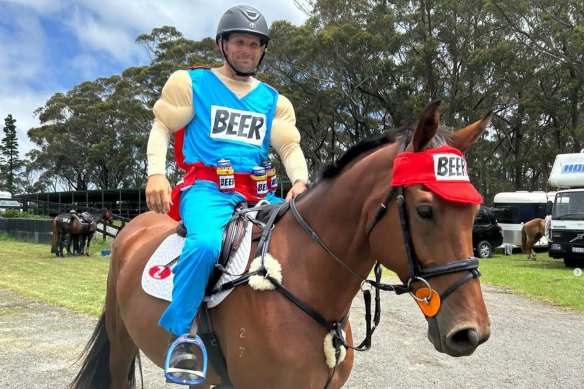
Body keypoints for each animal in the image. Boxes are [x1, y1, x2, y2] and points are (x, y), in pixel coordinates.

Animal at [67, 101, 492, 388]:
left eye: (475, 211)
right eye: (424, 210)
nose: (472, 333)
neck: (305, 282)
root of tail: (133, 227)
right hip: (122, 342)